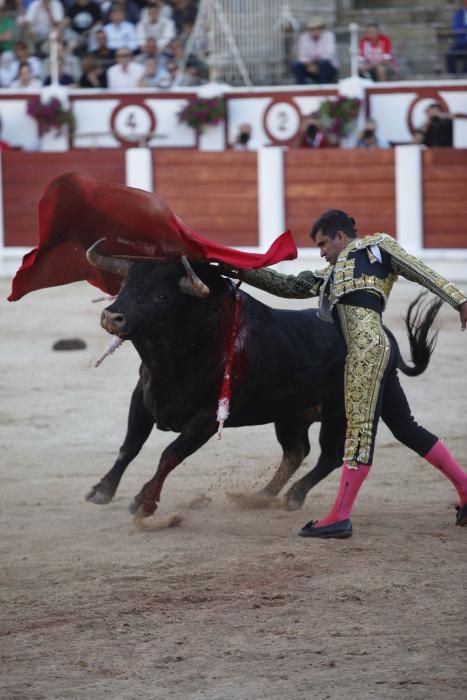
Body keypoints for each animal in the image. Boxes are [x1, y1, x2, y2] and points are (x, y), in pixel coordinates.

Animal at [85, 242, 442, 520]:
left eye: (161, 296)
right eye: (125, 284)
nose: (112, 317)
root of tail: (388, 337)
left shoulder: (207, 416)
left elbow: (170, 454)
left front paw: (144, 501)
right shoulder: (143, 398)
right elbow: (129, 446)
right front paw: (101, 490)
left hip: (339, 411)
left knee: (328, 455)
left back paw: (293, 496)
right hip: (291, 415)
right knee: (296, 451)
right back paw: (261, 496)